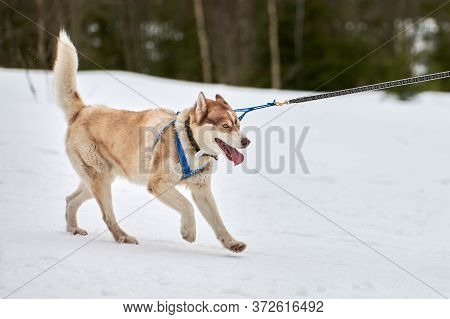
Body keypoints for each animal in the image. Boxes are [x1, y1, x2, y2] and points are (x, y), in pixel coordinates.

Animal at [53, 31, 250, 254]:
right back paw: (123, 237)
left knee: (71, 200)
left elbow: (218, 222)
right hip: (100, 179)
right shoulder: (159, 184)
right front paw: (188, 232)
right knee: (107, 216)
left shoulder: (202, 191)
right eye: (225, 126)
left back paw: (74, 229)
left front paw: (232, 243)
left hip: (98, 180)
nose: (247, 141)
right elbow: (187, 206)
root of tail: (82, 111)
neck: (191, 145)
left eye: (237, 123)